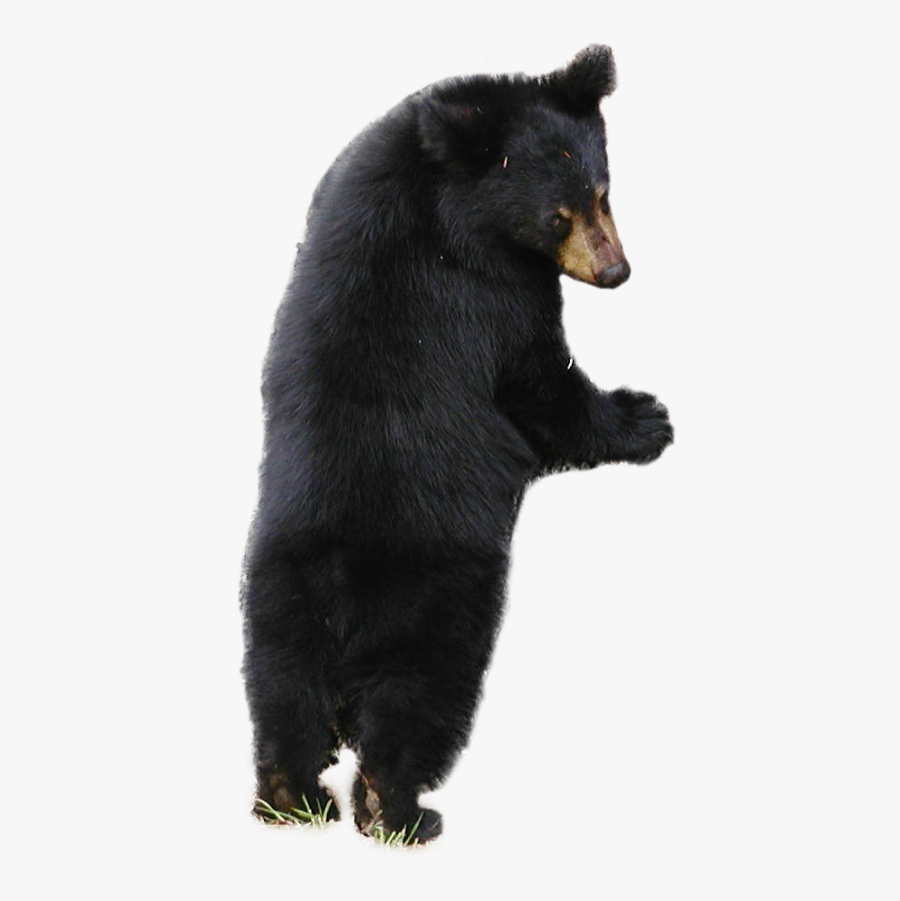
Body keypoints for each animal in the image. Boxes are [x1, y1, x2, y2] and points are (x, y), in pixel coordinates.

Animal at [241, 45, 673, 844]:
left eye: (604, 191)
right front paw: (647, 416)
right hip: (441, 603)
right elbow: (542, 385)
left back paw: (290, 797)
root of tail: (345, 604)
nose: (616, 272)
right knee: (418, 705)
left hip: (277, 601)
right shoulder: (489, 290)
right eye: (557, 215)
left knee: (283, 698)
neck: (440, 180)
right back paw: (402, 811)